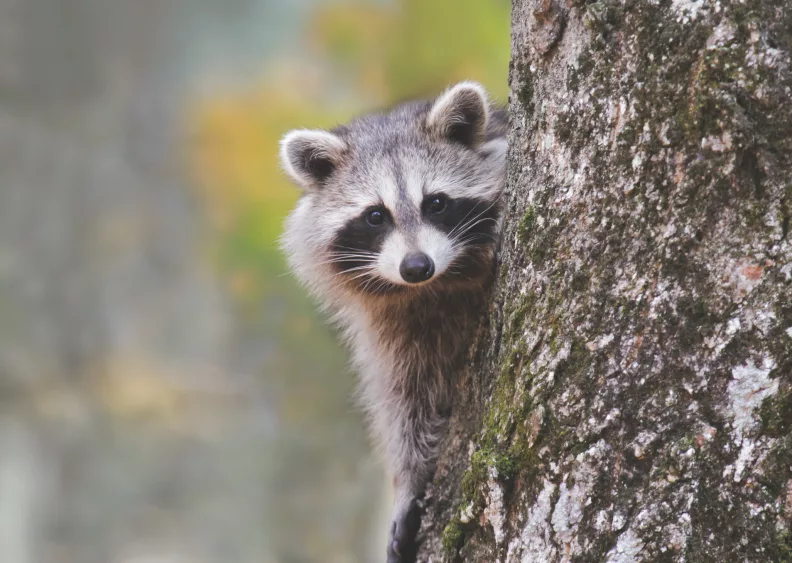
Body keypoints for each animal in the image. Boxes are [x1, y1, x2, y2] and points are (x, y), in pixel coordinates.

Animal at [280, 82, 508, 563]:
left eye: (436, 203)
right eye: (375, 215)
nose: (416, 266)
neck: (434, 287)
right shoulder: (390, 325)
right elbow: (404, 395)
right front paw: (410, 479)